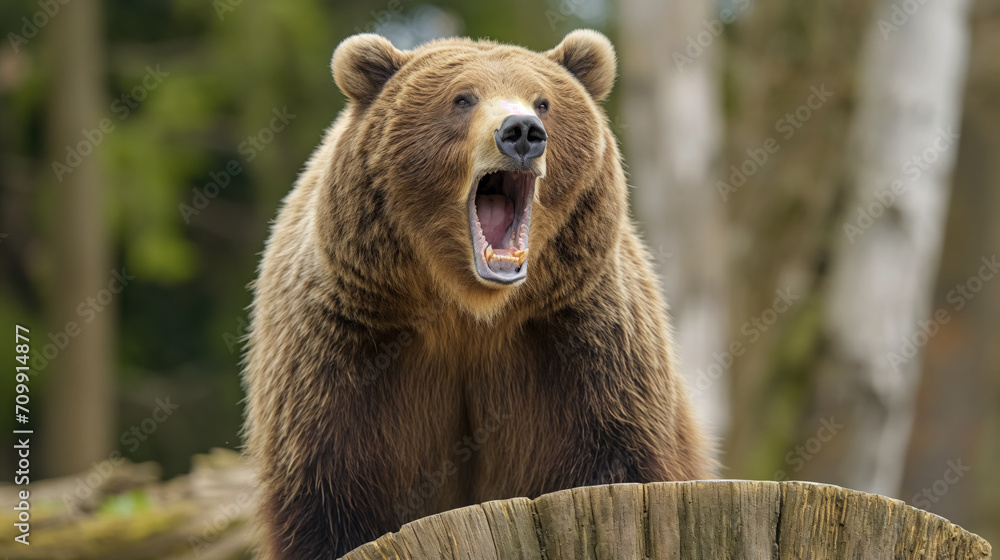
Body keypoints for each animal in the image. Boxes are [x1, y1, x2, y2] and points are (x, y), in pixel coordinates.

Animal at [241, 29, 714, 559]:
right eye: (462, 98)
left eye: (543, 101)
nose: (522, 131)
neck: (468, 310)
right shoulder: (345, 350)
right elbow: (331, 495)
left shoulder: (584, 349)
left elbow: (612, 461)